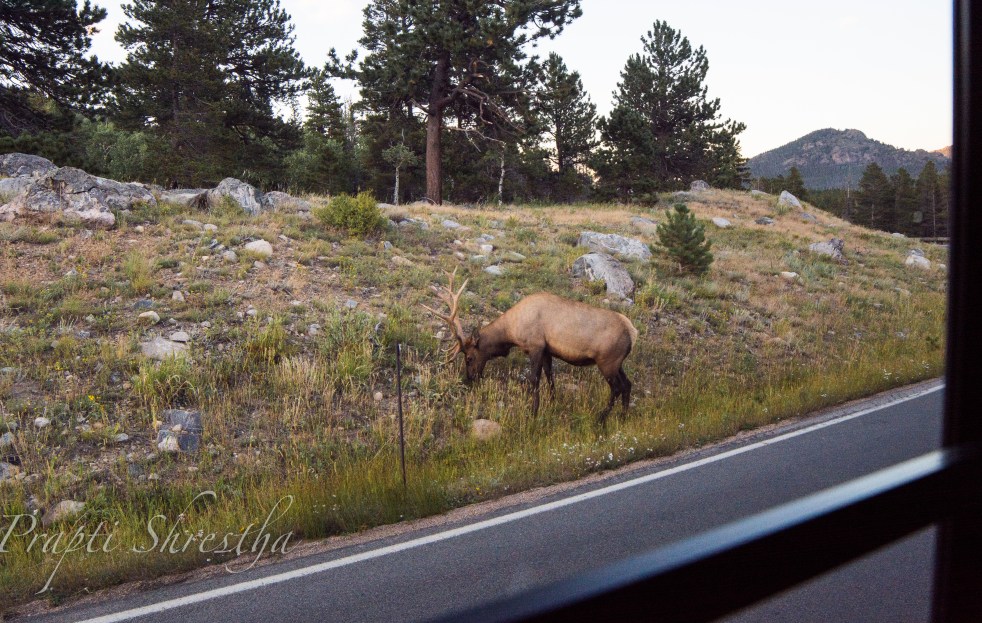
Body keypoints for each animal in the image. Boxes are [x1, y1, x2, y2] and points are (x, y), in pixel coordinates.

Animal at [423, 269, 639, 423]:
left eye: (469, 357)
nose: (470, 377)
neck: (511, 332)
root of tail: (632, 332)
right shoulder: (547, 350)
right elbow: (550, 376)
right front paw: (552, 402)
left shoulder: (535, 346)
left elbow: (534, 379)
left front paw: (533, 412)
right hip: (617, 363)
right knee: (627, 384)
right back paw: (623, 417)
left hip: (607, 361)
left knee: (617, 388)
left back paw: (601, 418)